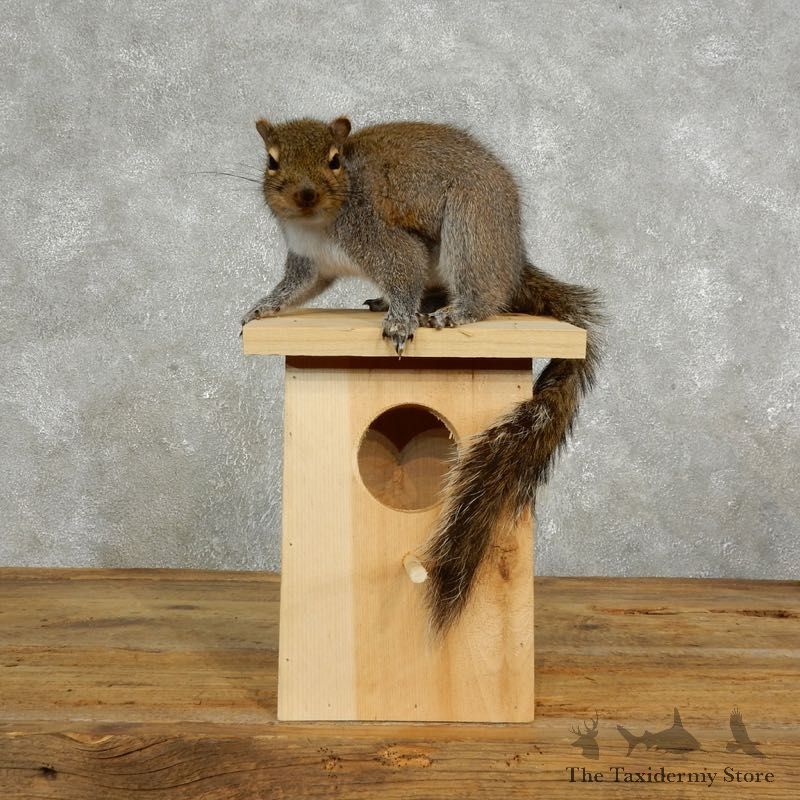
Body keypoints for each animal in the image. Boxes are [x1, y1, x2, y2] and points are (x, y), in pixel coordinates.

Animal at [242, 117, 603, 634]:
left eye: (335, 159)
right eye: (271, 161)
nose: (305, 195)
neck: (319, 224)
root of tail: (513, 261)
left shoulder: (380, 238)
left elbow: (405, 271)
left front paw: (400, 320)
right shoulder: (309, 264)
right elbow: (296, 289)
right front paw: (262, 306)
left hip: (471, 227)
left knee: (484, 294)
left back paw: (453, 312)